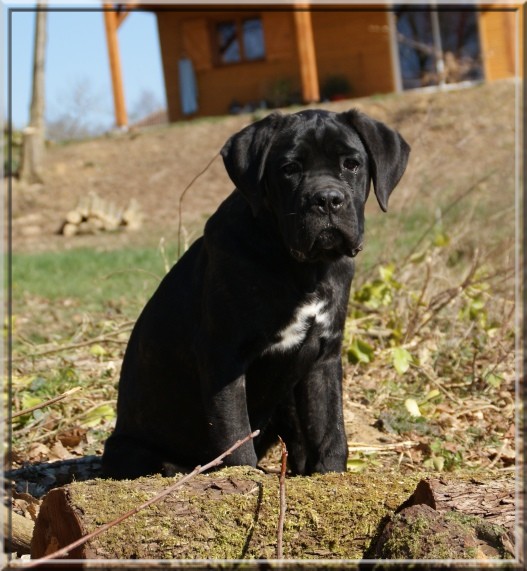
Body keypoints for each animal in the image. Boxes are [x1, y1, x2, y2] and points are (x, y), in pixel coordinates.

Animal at [101, 109, 410, 480]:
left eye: (352, 164)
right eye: (289, 168)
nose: (326, 199)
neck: (303, 268)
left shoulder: (324, 355)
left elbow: (330, 428)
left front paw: (331, 475)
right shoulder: (224, 356)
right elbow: (234, 434)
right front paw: (242, 478)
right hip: (128, 448)